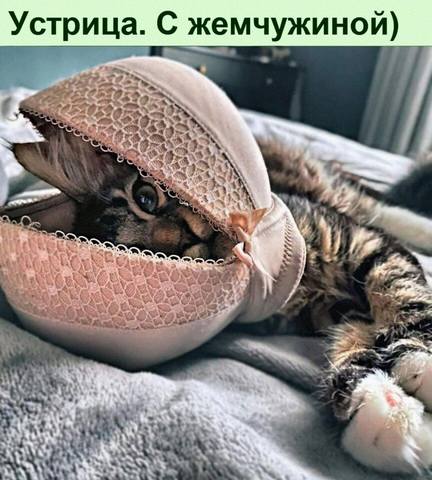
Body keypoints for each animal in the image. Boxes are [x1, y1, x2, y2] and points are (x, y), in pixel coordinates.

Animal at [11, 120, 432, 473]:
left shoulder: (357, 242)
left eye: (145, 198)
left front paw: (419, 364)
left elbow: (405, 292)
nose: (187, 237)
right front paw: (385, 412)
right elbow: (353, 347)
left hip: (333, 191)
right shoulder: (333, 312)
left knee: (382, 207)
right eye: (152, 255)